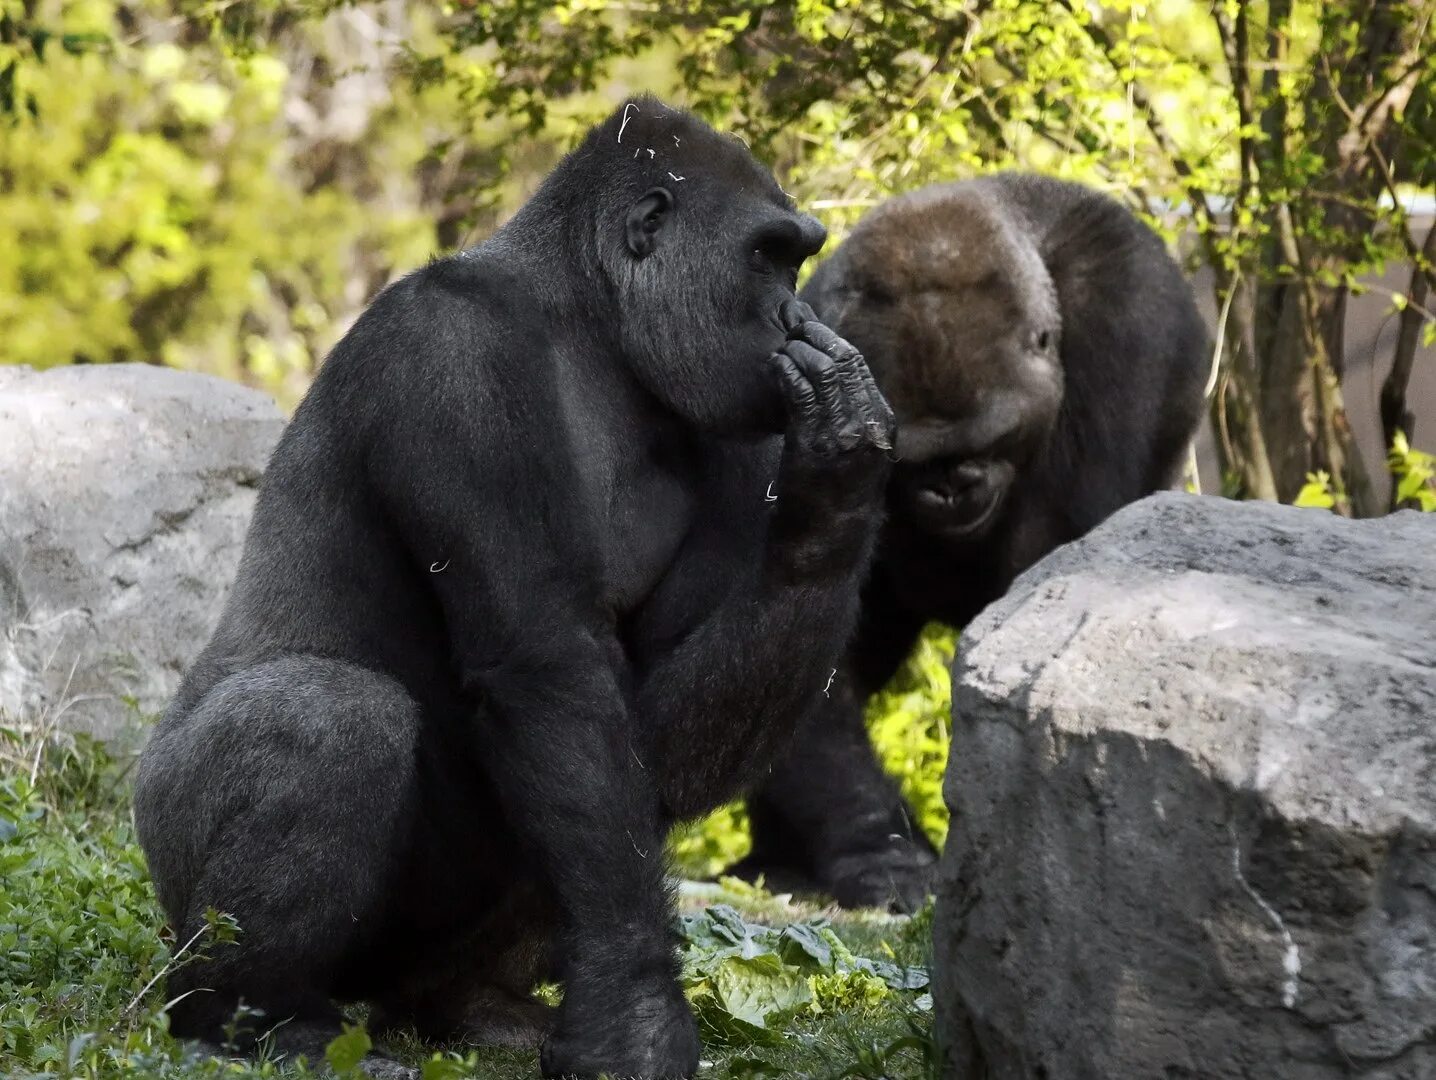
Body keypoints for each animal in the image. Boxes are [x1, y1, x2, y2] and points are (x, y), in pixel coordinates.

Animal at [137, 92, 896, 1080]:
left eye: (798, 259)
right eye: (768, 255)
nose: (792, 313)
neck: (586, 316)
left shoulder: (735, 426)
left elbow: (656, 736)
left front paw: (835, 492)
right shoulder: (451, 357)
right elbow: (544, 659)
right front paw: (636, 1017)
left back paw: (466, 1003)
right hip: (167, 845)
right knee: (333, 719)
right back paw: (250, 1012)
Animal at [729, 170, 1211, 913]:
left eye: (987, 439)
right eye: (920, 457)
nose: (953, 488)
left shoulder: (1131, 325)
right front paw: (878, 849)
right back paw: (775, 859)